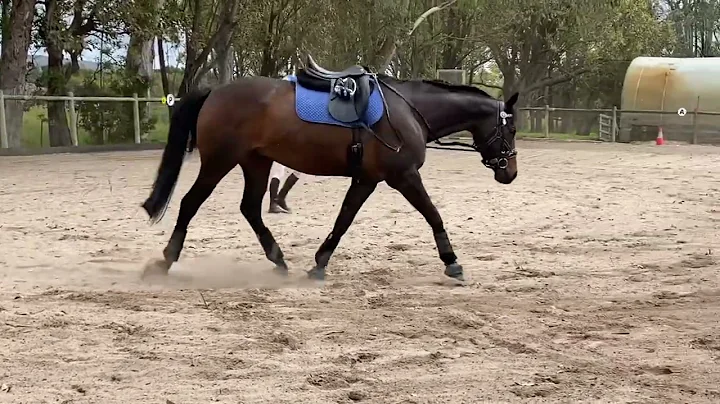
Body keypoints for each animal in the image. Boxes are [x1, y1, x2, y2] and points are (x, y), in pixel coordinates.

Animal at [139, 55, 516, 282]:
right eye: (510, 129)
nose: (509, 172)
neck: (408, 110)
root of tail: (215, 92)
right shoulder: (404, 176)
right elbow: (433, 214)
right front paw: (452, 261)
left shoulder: (367, 179)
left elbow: (344, 219)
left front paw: (320, 263)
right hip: (220, 161)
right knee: (190, 203)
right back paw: (165, 261)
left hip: (256, 161)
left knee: (250, 209)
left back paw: (278, 259)